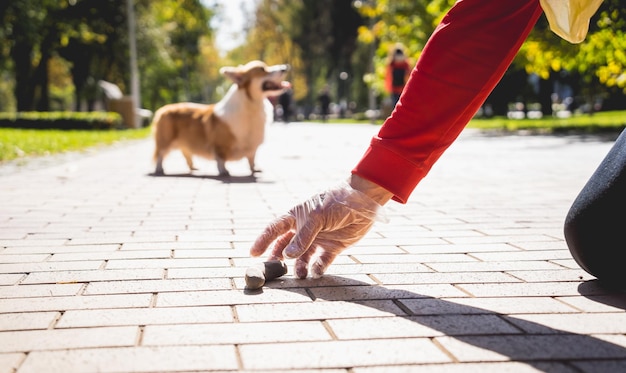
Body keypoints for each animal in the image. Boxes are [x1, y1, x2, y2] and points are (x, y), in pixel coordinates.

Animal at [151, 60, 290, 176]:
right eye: (262, 69)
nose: (285, 67)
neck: (252, 107)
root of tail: (162, 109)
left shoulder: (252, 147)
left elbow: (251, 159)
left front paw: (254, 169)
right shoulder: (220, 146)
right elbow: (221, 160)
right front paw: (224, 171)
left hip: (185, 142)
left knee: (187, 154)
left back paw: (193, 168)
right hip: (165, 141)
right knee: (160, 155)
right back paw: (159, 170)